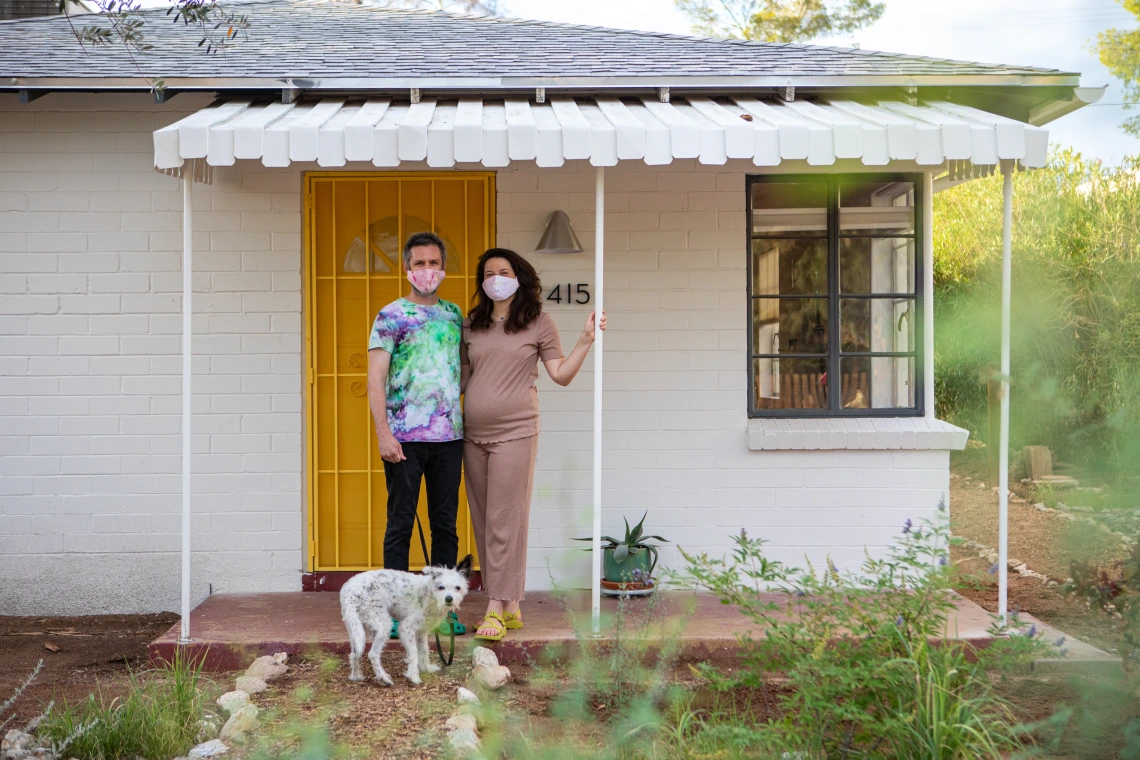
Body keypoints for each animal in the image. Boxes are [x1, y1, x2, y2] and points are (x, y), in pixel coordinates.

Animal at [337, 556, 471, 688]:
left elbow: (424, 649)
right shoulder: (406, 628)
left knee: (355, 653)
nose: (449, 599)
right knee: (373, 654)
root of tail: (350, 593)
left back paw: (356, 676)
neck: (428, 593)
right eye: (441, 587)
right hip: (384, 626)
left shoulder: (421, 631)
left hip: (356, 630)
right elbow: (414, 652)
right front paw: (414, 676)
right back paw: (384, 678)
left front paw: (426, 668)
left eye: (457, 588)